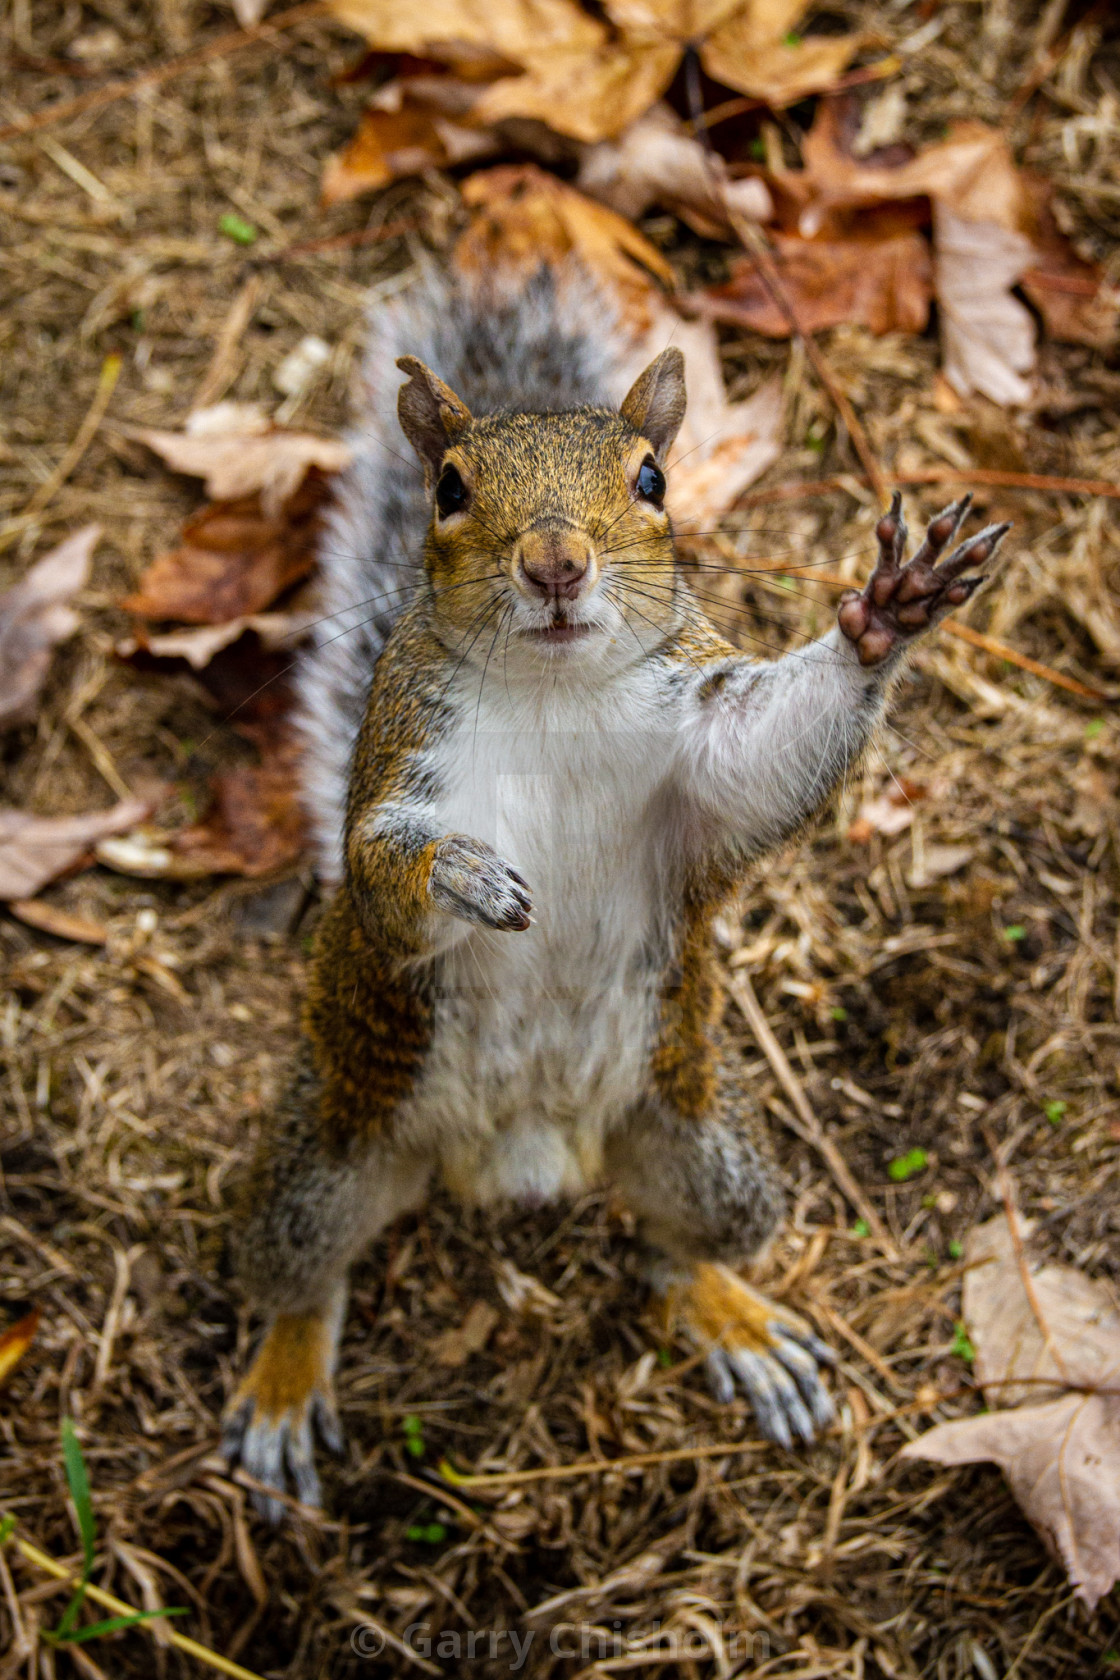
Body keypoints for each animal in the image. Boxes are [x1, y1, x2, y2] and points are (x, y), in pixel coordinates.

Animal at [223, 268, 1014, 1518]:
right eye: (448, 490)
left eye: (651, 480)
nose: (555, 563)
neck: (556, 692)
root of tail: (528, 1157)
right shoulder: (397, 763)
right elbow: (383, 879)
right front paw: (461, 873)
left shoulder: (700, 752)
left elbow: (764, 763)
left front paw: (889, 610)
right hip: (333, 1152)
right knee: (301, 1273)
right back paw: (284, 1384)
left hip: (693, 1141)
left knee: (678, 1243)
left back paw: (738, 1322)